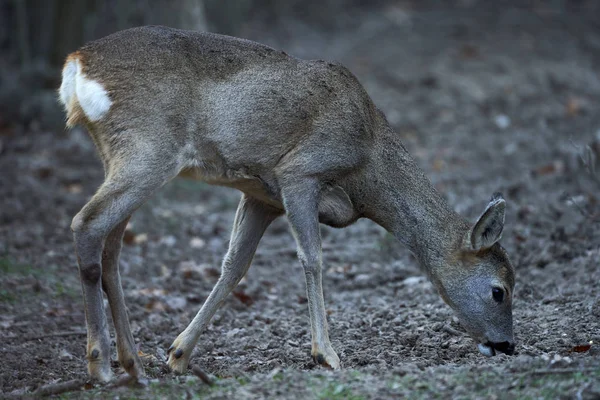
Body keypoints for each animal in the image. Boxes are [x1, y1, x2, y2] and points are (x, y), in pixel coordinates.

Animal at [57, 25, 516, 382]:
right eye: (500, 291)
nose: (508, 345)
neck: (367, 166)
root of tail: (76, 63)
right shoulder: (300, 172)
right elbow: (312, 257)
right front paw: (326, 354)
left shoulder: (262, 196)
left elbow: (234, 265)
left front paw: (179, 354)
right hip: (148, 148)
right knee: (86, 224)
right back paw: (100, 366)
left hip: (121, 156)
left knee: (111, 246)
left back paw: (133, 364)